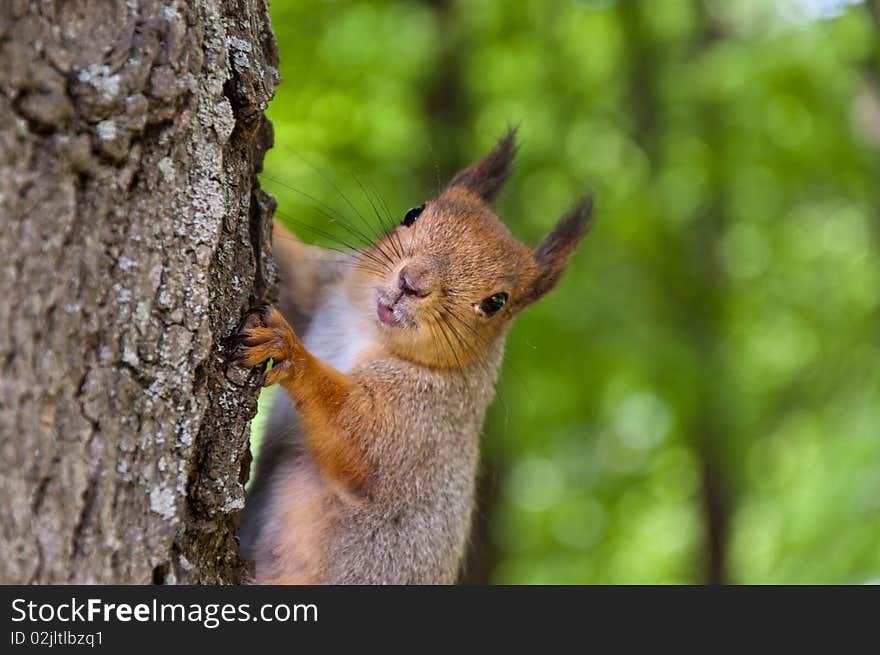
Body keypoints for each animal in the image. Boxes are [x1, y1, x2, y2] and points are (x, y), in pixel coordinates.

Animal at [235, 129, 592, 584]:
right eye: (413, 213)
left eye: (496, 302)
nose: (412, 281)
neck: (365, 328)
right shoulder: (321, 288)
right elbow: (294, 269)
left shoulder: (425, 416)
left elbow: (360, 433)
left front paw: (287, 347)